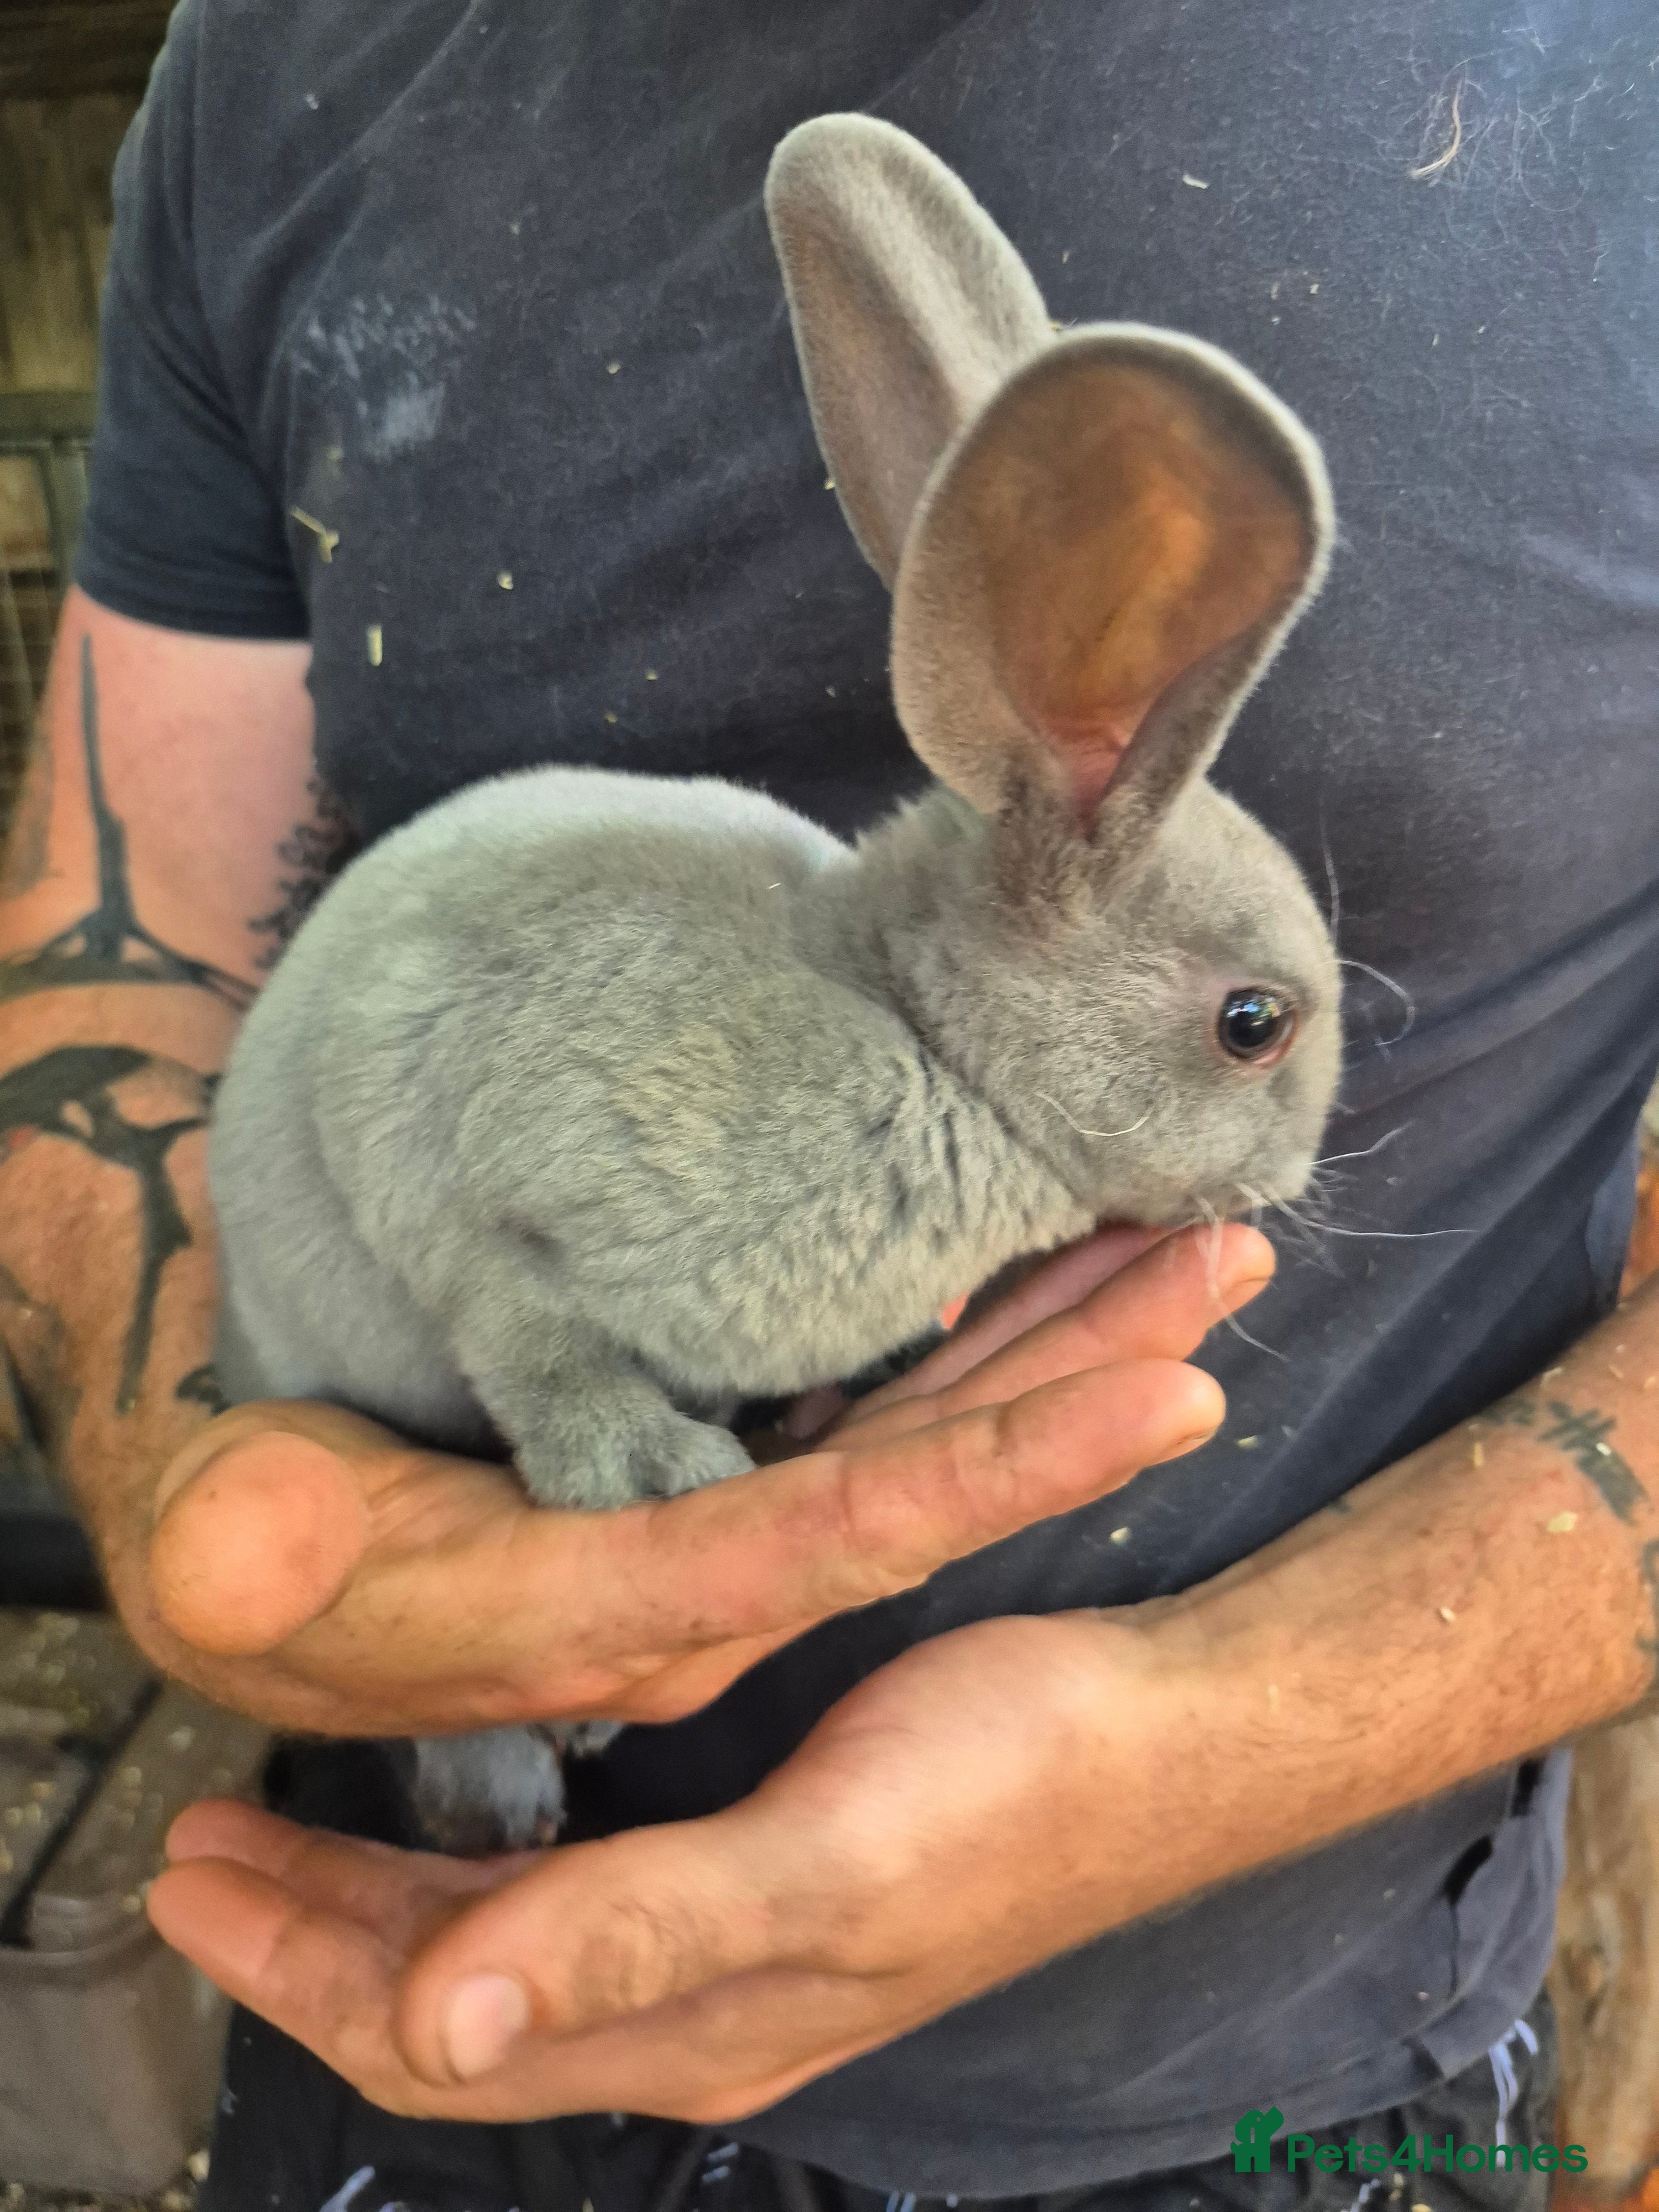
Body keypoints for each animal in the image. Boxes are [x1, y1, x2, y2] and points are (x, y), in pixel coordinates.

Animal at [208, 112, 1342, 1852]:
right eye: (1252, 1025)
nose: (1295, 1178)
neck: (915, 1030)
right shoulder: (460, 1164)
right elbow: (521, 1324)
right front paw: (648, 1472)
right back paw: (502, 1806)